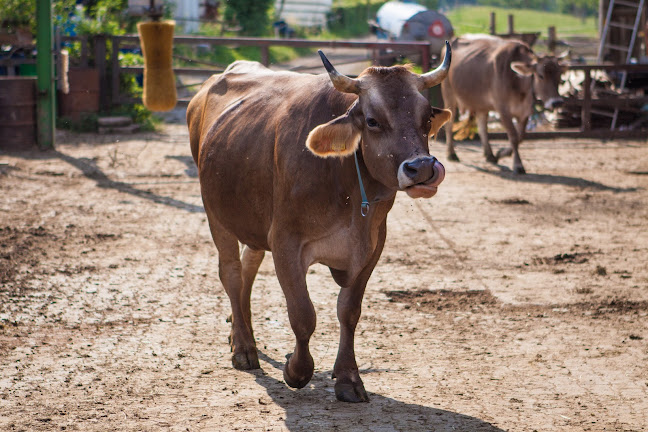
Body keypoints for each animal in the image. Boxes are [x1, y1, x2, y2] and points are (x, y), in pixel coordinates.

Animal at [186, 45, 450, 404]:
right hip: (216, 213)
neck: (345, 181)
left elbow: (349, 312)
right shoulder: (285, 242)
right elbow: (303, 314)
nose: (421, 168)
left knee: (248, 267)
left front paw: (348, 378)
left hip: (253, 223)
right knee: (231, 272)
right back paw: (243, 347)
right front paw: (296, 370)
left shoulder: (372, 246)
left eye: (427, 120)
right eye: (372, 120)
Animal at [442, 34, 564, 174]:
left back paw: (490, 154)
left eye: (559, 76)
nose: (557, 102)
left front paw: (501, 153)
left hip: (481, 104)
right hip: (449, 95)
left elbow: (520, 137)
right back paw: (451, 154)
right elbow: (513, 136)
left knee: (482, 127)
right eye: (540, 75)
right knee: (449, 125)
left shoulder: (525, 112)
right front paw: (518, 164)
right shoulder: (503, 110)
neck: (517, 81)